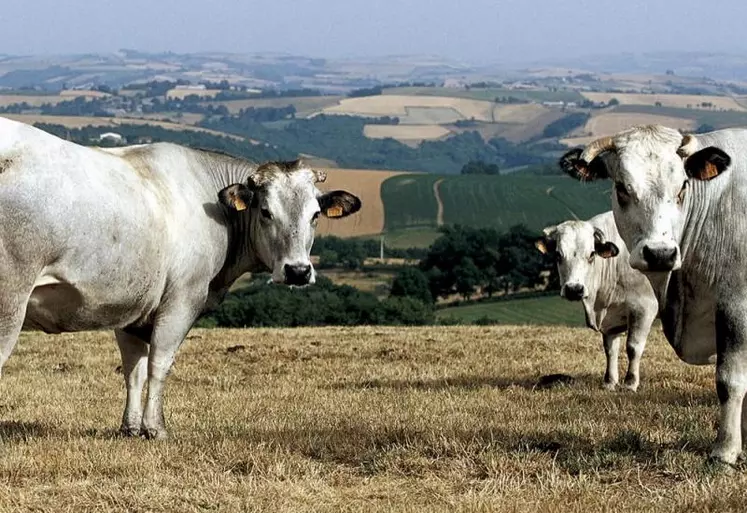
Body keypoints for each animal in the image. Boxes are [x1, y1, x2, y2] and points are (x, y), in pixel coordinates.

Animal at [0, 118, 362, 438]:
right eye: (265, 211)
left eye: (315, 214)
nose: (298, 271)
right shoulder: (183, 299)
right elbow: (159, 364)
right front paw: (155, 428)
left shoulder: (131, 304)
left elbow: (133, 369)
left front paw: (130, 428)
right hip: (10, 302)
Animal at [536, 210, 656, 390]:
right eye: (558, 254)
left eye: (592, 254)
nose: (574, 289)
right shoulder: (610, 319)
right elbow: (610, 349)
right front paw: (609, 382)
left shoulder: (644, 308)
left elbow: (633, 347)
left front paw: (630, 383)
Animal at [560, 123, 747, 464]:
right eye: (622, 188)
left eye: (683, 186)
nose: (660, 253)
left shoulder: (735, 303)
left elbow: (730, 379)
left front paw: (725, 450)